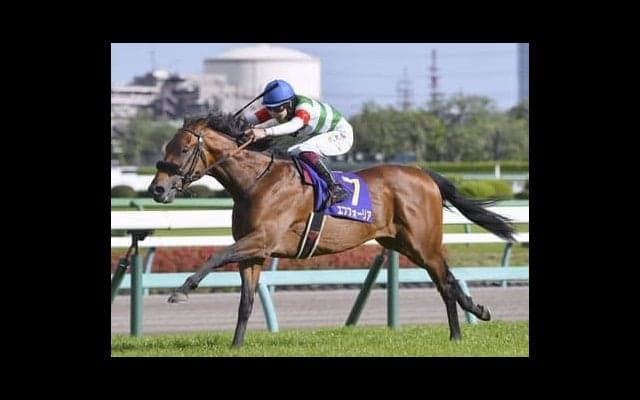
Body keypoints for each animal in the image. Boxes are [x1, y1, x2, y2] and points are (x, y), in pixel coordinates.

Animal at [148, 110, 516, 348]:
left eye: (183, 148)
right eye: (165, 148)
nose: (157, 189)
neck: (256, 182)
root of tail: (423, 174)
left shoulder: (261, 240)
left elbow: (216, 255)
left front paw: (181, 291)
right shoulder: (254, 253)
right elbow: (246, 302)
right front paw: (236, 346)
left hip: (422, 243)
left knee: (446, 282)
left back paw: (461, 330)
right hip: (401, 243)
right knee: (446, 281)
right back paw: (470, 319)